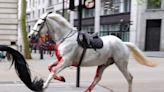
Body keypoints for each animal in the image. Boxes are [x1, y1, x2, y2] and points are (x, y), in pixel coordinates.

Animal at [28, 12, 159, 92]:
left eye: (39, 23)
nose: (30, 36)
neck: (66, 38)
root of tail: (123, 43)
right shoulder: (61, 60)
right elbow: (50, 68)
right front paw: (61, 78)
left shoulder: (66, 62)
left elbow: (53, 71)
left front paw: (44, 86)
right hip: (104, 64)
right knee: (97, 79)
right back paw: (87, 90)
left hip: (120, 63)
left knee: (129, 78)